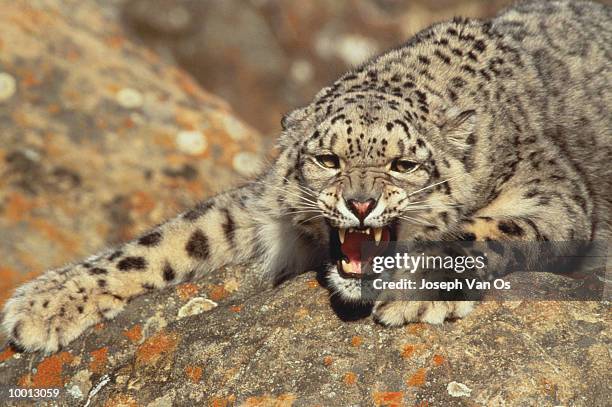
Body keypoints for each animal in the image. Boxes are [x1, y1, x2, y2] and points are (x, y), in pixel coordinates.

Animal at [2, 0, 608, 352]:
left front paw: (414, 289)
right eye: (328, 160)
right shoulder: (263, 206)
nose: (360, 204)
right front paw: (43, 303)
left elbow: (483, 231)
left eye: (404, 165)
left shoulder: (554, 198)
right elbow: (173, 238)